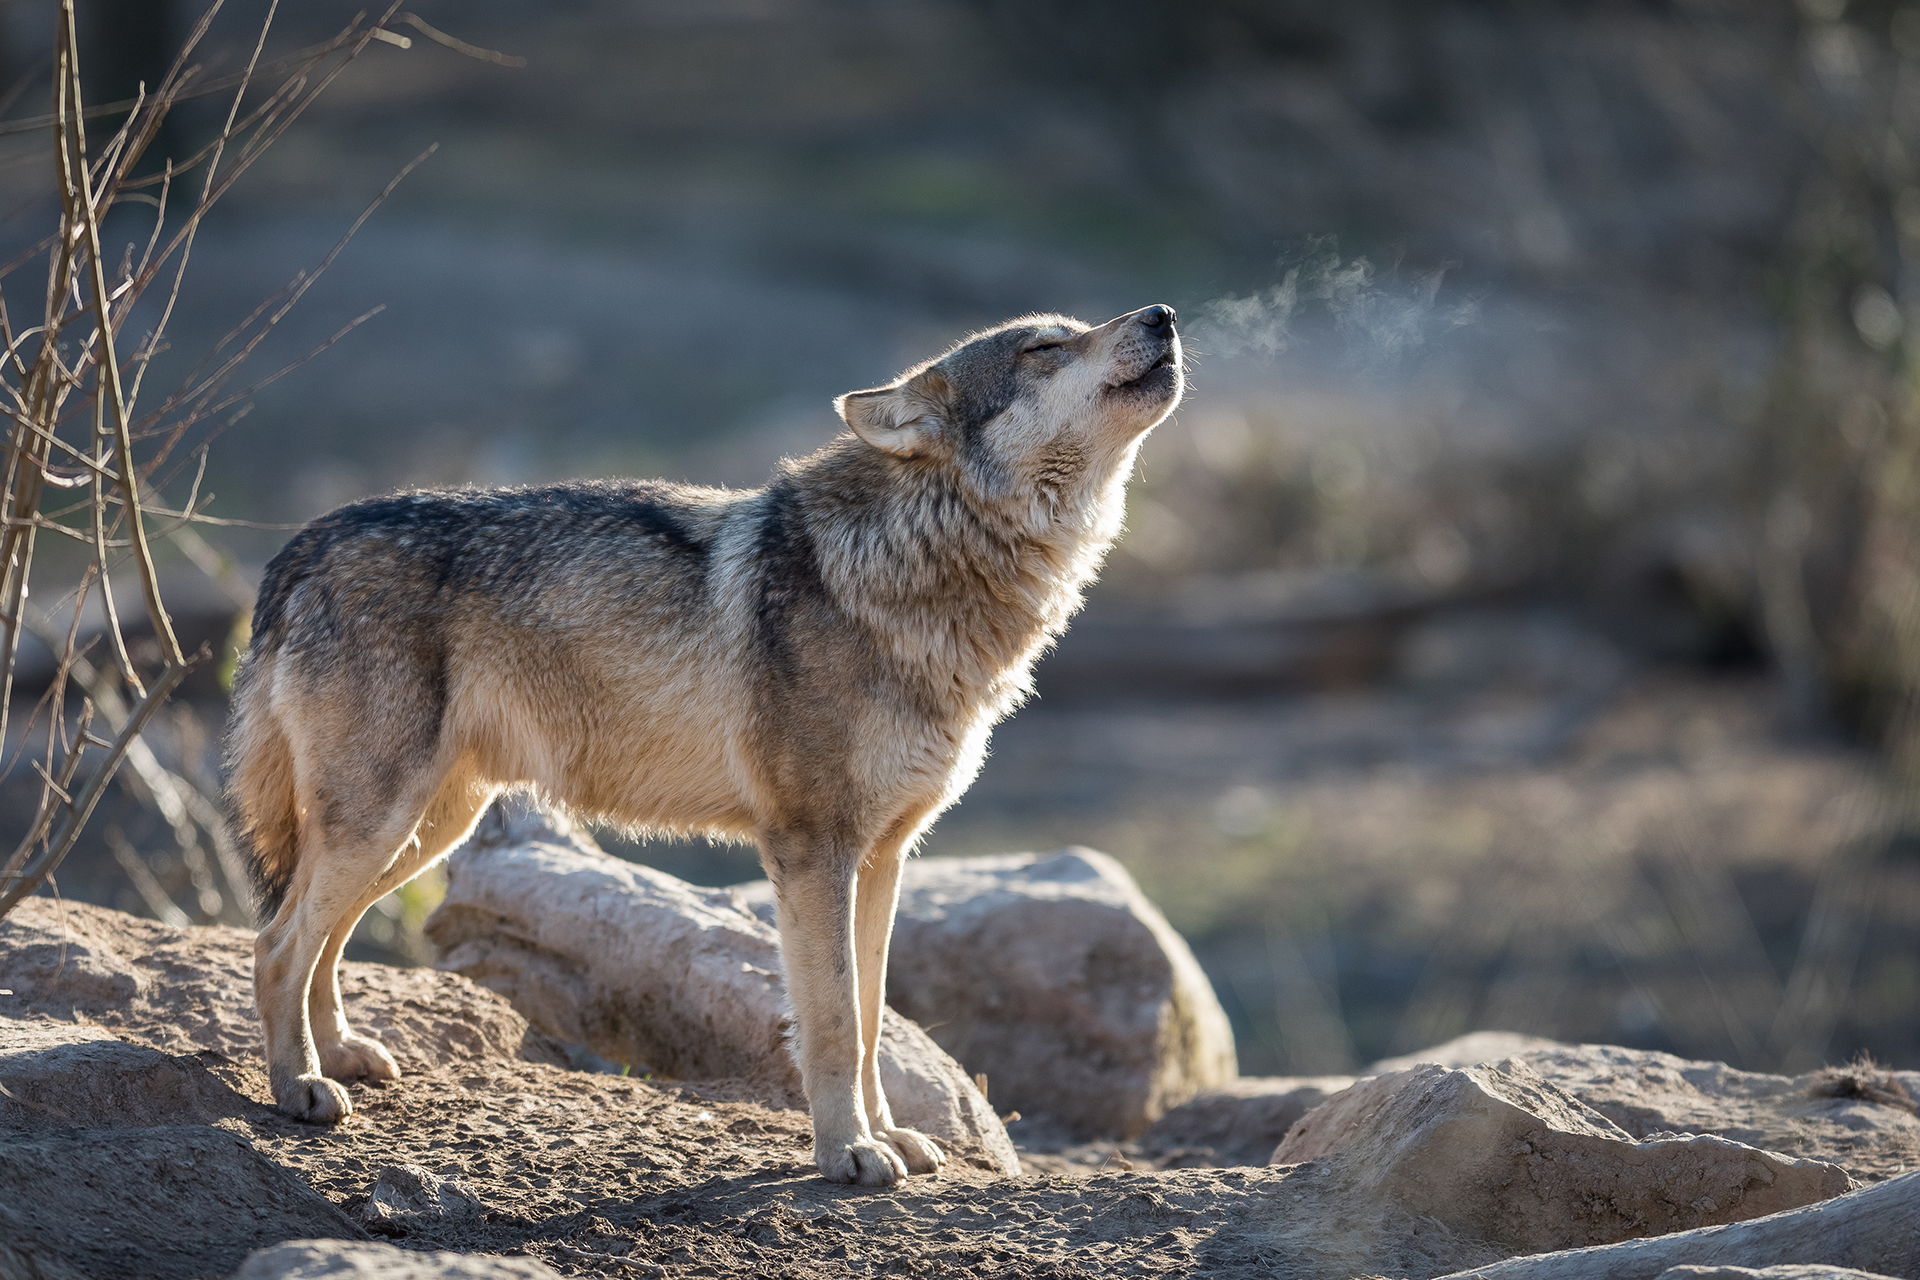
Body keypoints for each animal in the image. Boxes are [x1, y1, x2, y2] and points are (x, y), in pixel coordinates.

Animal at [226, 305, 1182, 1189]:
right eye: (1045, 348)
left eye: (1074, 328)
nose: (1163, 314)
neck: (911, 563)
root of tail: (304, 542)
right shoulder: (811, 851)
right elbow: (835, 1022)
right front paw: (848, 1153)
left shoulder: (884, 856)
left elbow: (873, 1017)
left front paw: (891, 1137)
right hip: (384, 823)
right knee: (276, 945)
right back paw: (299, 1089)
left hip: (425, 829)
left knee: (321, 940)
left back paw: (340, 1056)